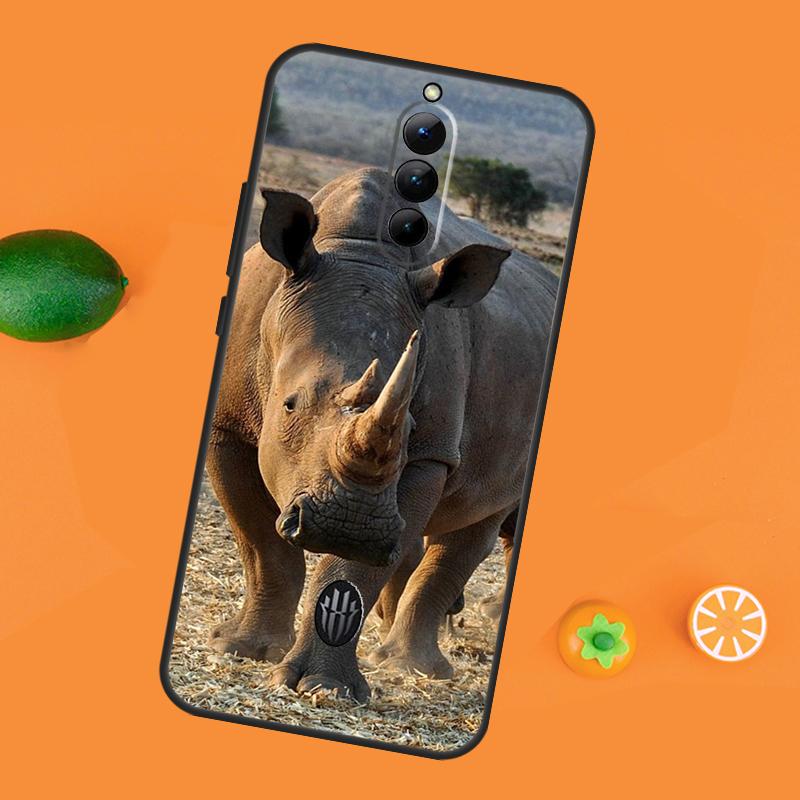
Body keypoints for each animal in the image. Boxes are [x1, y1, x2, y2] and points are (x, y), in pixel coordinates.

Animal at [208, 168, 557, 701]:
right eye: (289, 405)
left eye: (409, 425)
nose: (348, 525)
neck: (359, 252)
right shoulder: (227, 426)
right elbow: (261, 544)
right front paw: (244, 649)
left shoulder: (429, 453)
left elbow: (355, 571)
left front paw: (323, 687)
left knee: (475, 521)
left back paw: (412, 667)